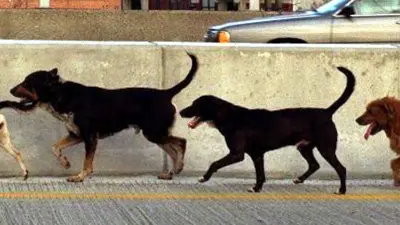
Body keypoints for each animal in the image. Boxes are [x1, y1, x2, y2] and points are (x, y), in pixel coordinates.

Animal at [0, 51, 198, 182]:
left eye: (27, 83)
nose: (10, 90)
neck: (62, 95)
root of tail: (166, 93)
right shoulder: (76, 135)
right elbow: (55, 147)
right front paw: (65, 163)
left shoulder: (89, 137)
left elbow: (87, 162)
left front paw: (80, 176)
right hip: (155, 134)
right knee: (173, 149)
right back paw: (172, 172)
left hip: (154, 132)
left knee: (181, 142)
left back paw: (178, 167)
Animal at [180, 66, 354, 194]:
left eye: (195, 104)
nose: (180, 111)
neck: (229, 116)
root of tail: (327, 112)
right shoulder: (257, 155)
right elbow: (260, 175)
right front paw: (257, 188)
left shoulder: (237, 154)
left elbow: (214, 163)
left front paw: (204, 177)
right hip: (304, 147)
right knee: (314, 165)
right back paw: (299, 179)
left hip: (326, 148)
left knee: (341, 168)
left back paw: (341, 190)